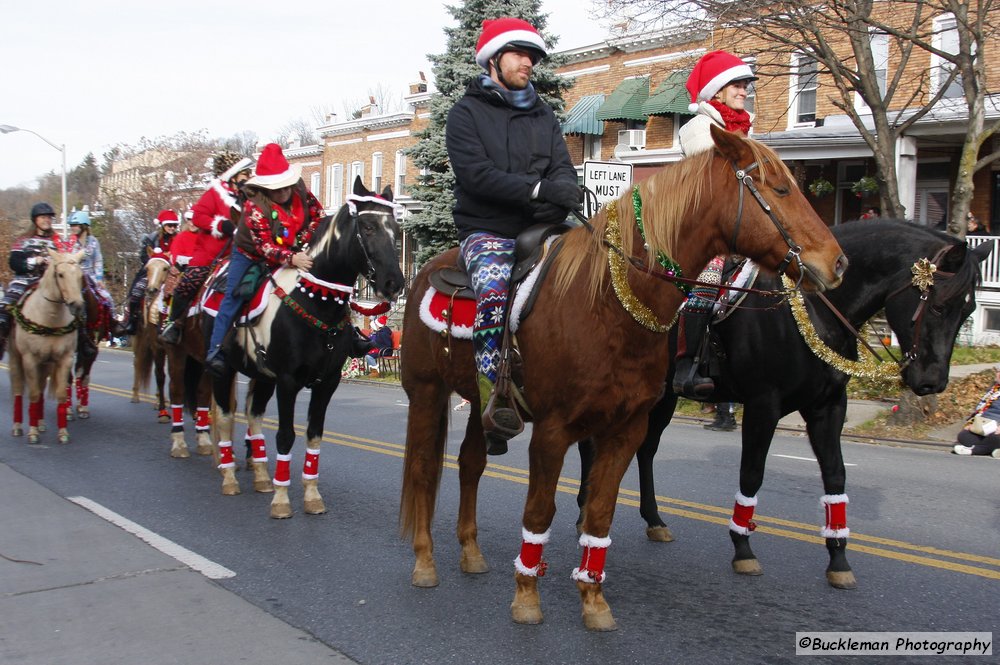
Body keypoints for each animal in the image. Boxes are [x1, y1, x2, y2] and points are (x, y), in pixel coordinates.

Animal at [8, 246, 86, 444]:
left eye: (80, 275)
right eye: (60, 274)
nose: (77, 305)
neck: (50, 319)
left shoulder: (64, 359)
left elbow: (60, 394)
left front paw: (63, 433)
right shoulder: (29, 359)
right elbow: (33, 394)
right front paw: (32, 433)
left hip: (46, 364)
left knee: (42, 389)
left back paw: (41, 423)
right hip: (16, 359)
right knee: (19, 389)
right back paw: (18, 427)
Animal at [209, 178, 404, 520]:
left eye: (395, 228)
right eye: (367, 227)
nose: (394, 283)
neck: (316, 301)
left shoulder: (327, 383)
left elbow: (314, 433)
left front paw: (311, 495)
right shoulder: (288, 381)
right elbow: (286, 435)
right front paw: (282, 500)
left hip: (262, 376)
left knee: (253, 416)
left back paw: (261, 477)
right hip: (223, 369)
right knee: (223, 417)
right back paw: (229, 476)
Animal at [394, 126, 848, 632]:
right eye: (781, 189)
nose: (837, 263)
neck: (609, 304)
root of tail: (427, 270)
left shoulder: (624, 429)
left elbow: (599, 515)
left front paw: (593, 601)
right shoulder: (553, 432)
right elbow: (539, 511)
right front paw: (527, 597)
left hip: (479, 402)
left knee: (470, 464)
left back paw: (471, 553)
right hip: (426, 393)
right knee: (422, 470)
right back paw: (424, 563)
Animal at [580, 220, 992, 588]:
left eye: (968, 311)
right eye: (938, 306)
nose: (931, 381)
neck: (812, 309)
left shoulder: (828, 407)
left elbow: (835, 476)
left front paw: (838, 558)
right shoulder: (763, 405)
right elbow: (751, 473)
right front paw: (743, 547)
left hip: (663, 395)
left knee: (644, 450)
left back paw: (651, 520)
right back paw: (587, 506)